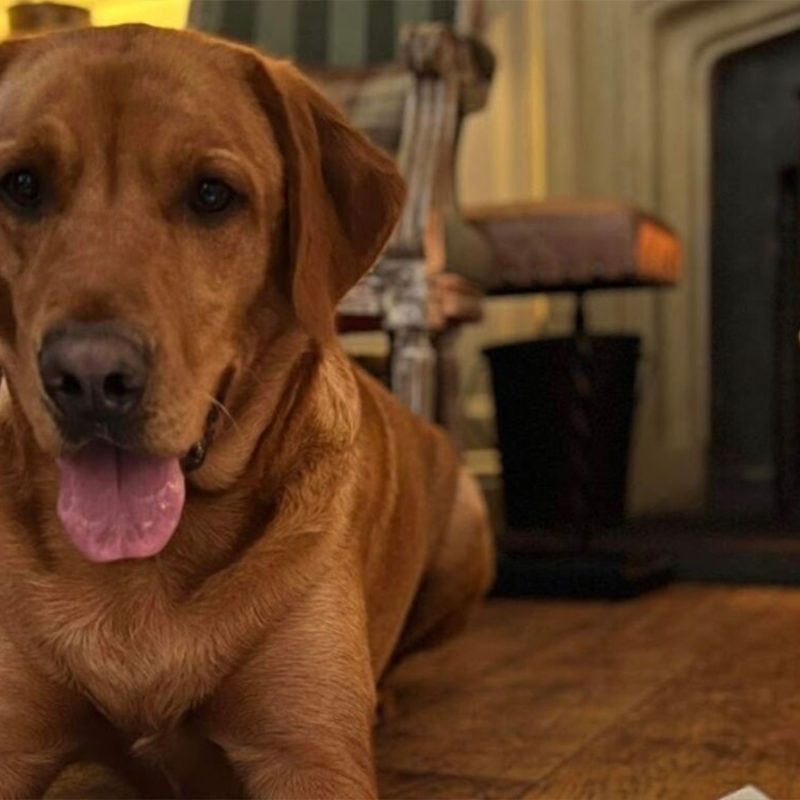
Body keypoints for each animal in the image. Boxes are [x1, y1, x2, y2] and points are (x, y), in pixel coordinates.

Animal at [0, 21, 494, 796]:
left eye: (212, 194)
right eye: (21, 184)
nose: (88, 376)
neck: (140, 577)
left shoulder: (307, 751)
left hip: (468, 536)